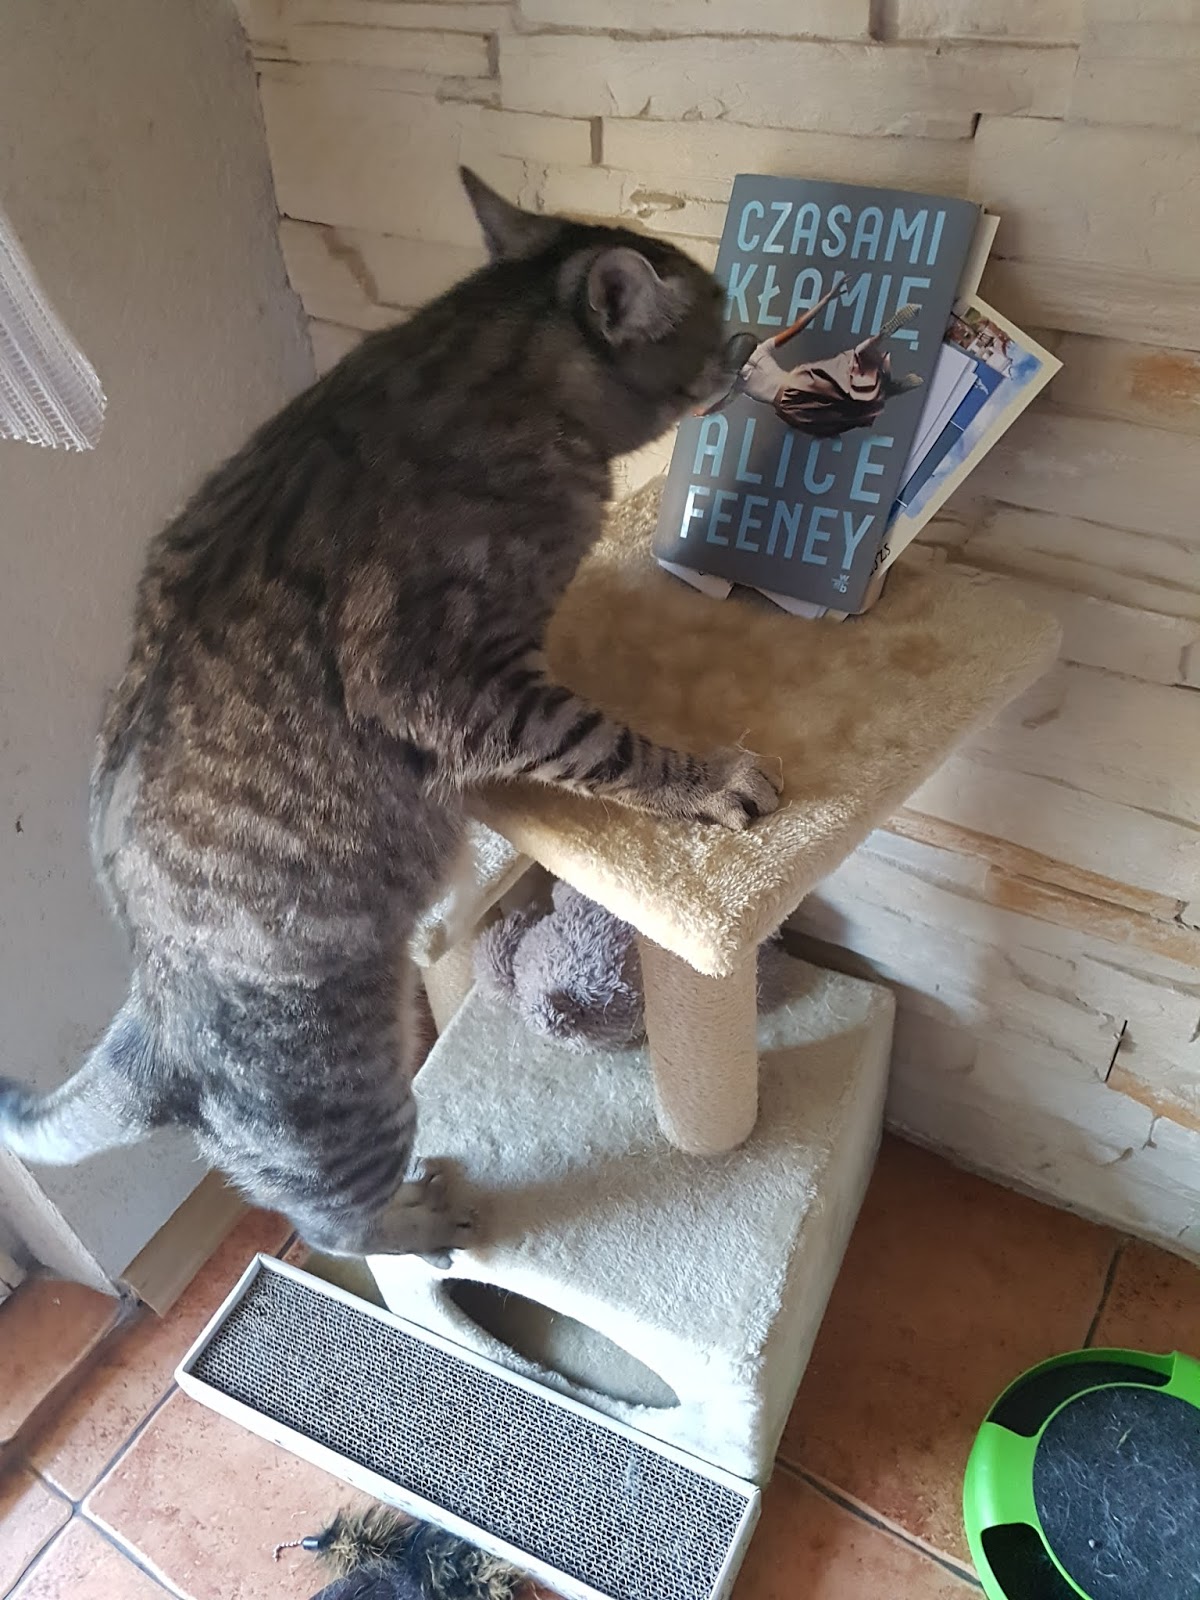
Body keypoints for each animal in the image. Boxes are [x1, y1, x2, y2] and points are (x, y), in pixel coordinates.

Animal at [0, 170, 782, 1260]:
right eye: (712, 309)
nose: (749, 337)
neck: (486, 364)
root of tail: (153, 1026)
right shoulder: (450, 683)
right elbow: (605, 744)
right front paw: (705, 781)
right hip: (354, 1107)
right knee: (333, 1225)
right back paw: (423, 1211)